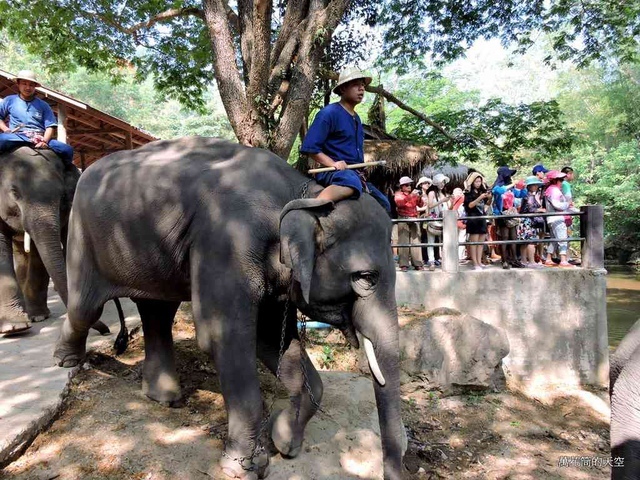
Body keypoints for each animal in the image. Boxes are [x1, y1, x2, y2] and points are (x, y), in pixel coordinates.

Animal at [53, 137, 404, 478]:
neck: (302, 193)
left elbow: (271, 337)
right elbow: (225, 339)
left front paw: (285, 442)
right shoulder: (227, 242)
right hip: (82, 238)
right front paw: (244, 468)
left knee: (158, 312)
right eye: (366, 277)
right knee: (86, 308)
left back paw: (164, 398)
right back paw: (66, 360)